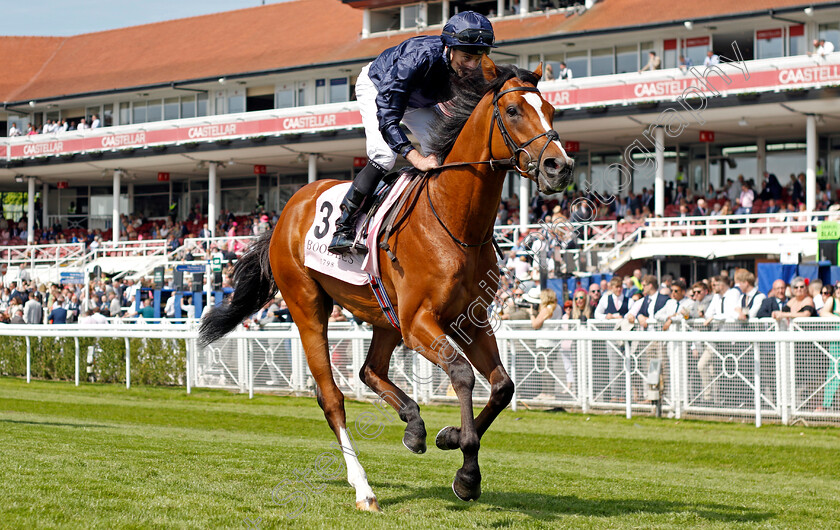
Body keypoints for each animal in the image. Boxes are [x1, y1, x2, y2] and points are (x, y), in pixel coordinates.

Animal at [200, 54, 576, 512]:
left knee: (369, 370)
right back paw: (363, 487)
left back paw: (413, 423)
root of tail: (288, 209)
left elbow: (503, 386)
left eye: (551, 110)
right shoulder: (419, 322)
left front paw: (449, 437)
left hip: (383, 314)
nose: (559, 166)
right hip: (308, 305)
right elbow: (462, 374)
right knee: (332, 398)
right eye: (513, 110)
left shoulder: (470, 319)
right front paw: (467, 471)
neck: (454, 221)